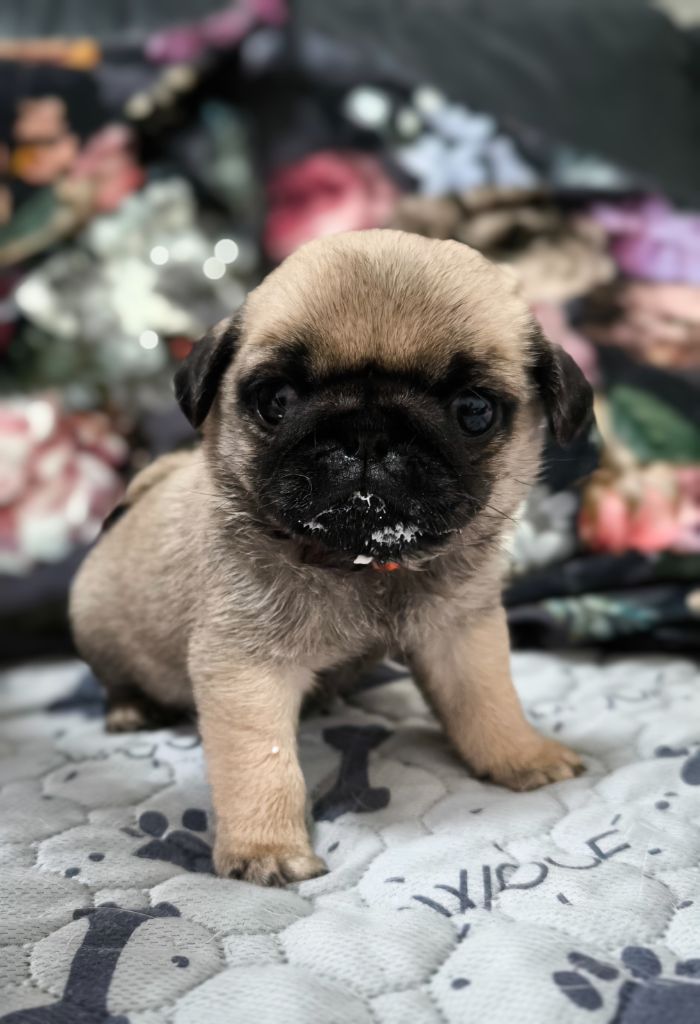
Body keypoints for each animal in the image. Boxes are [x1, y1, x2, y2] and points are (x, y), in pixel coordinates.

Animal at [70, 229, 593, 886]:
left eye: (474, 411)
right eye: (276, 400)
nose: (368, 434)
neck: (361, 564)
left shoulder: (461, 637)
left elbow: (487, 702)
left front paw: (521, 754)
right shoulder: (247, 670)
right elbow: (262, 764)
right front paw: (266, 846)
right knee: (116, 679)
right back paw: (131, 709)